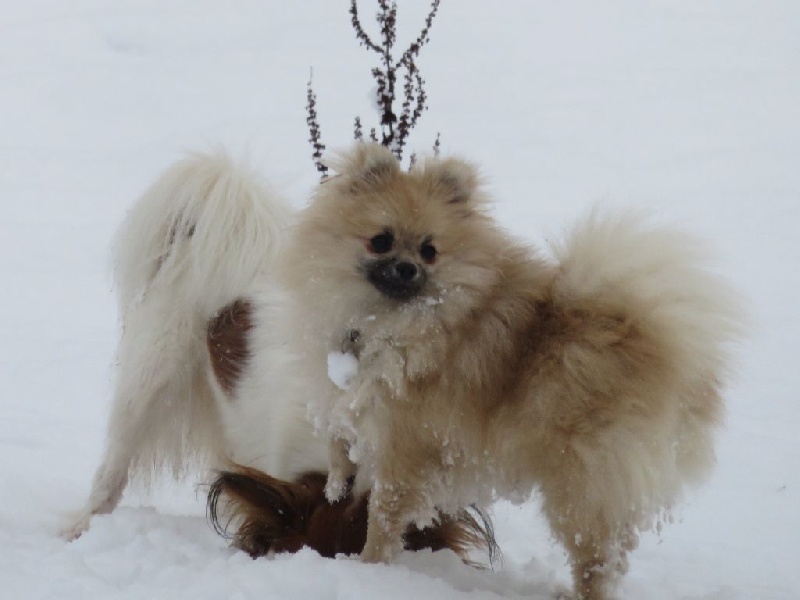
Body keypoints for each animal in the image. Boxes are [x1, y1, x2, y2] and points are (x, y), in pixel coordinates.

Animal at [282, 143, 744, 596]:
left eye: (430, 250)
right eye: (380, 241)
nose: (408, 268)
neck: (392, 322)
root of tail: (644, 338)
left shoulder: (407, 444)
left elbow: (384, 513)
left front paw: (371, 567)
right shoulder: (353, 398)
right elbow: (340, 439)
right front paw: (335, 484)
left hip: (580, 482)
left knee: (597, 556)